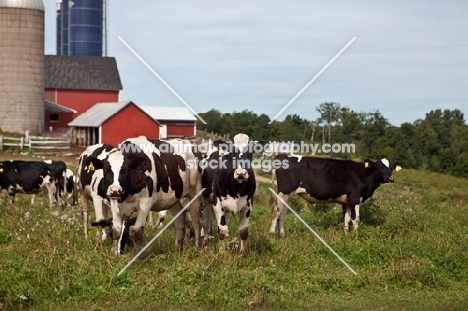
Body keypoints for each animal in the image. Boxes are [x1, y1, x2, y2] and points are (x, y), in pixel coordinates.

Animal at [268, 155, 400, 238]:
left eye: (391, 168)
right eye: (379, 167)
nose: (390, 178)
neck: (365, 173)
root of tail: (282, 156)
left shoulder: (347, 202)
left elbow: (347, 219)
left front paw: (346, 235)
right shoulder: (355, 198)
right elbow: (356, 219)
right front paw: (357, 236)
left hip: (287, 195)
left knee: (282, 214)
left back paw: (282, 235)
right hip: (284, 192)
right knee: (275, 212)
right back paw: (272, 235)